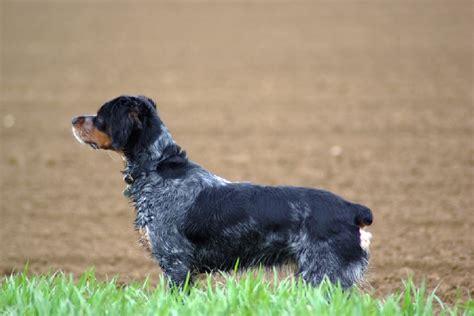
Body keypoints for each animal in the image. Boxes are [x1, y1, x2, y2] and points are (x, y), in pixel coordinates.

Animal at [71, 94, 374, 288]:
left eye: (100, 115)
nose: (73, 118)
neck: (158, 167)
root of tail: (352, 208)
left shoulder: (175, 262)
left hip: (324, 275)